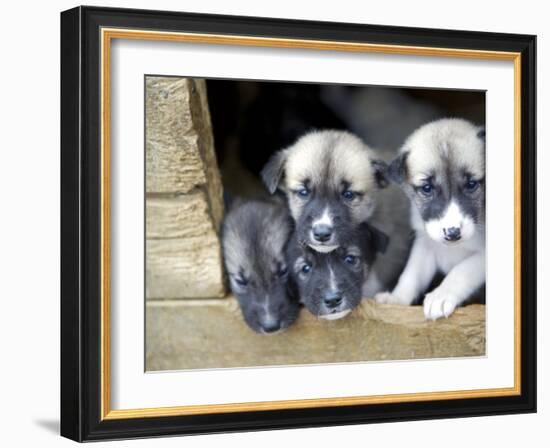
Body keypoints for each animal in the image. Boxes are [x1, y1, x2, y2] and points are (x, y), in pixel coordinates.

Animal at [378, 119, 490, 320]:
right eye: (427, 188)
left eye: (471, 184)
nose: (453, 233)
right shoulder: (425, 245)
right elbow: (411, 274)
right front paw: (397, 299)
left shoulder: (481, 256)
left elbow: (461, 270)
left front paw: (441, 296)